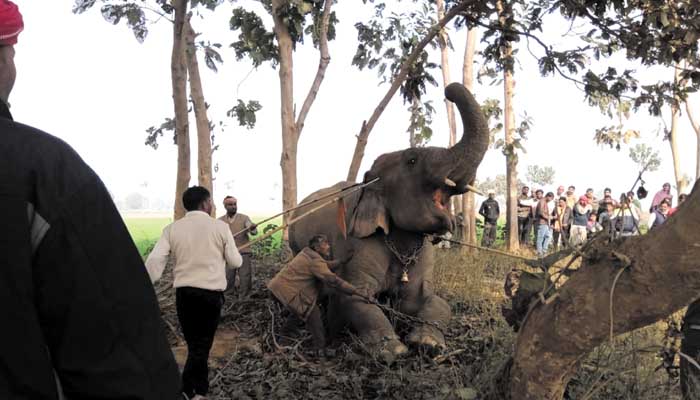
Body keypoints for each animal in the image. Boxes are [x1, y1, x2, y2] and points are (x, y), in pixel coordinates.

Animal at [288, 83, 490, 360]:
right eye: (412, 159)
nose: (448, 91)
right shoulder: (358, 243)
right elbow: (355, 297)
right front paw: (393, 351)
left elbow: (431, 300)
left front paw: (427, 344)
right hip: (294, 243)